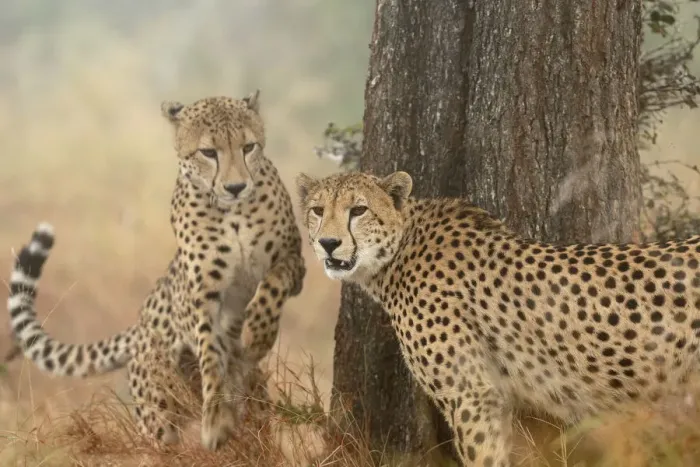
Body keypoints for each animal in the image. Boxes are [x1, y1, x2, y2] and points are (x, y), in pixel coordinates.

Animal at [6, 91, 306, 451]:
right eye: (208, 152)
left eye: (248, 147)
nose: (235, 186)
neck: (232, 212)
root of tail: (138, 326)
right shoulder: (203, 295)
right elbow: (210, 355)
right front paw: (215, 420)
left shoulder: (293, 260)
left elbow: (271, 287)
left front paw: (258, 333)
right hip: (157, 415)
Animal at [295, 169, 700, 467]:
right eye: (317, 210)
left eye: (359, 210)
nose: (328, 244)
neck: (399, 250)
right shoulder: (495, 396)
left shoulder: (472, 393)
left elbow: (483, 456)